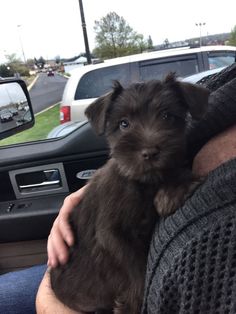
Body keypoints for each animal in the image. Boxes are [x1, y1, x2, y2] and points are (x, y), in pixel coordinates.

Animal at [49, 74, 208, 314]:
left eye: (167, 116)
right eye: (124, 123)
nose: (150, 153)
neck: (142, 183)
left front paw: (172, 191)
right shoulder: (111, 233)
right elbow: (135, 266)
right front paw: (132, 302)